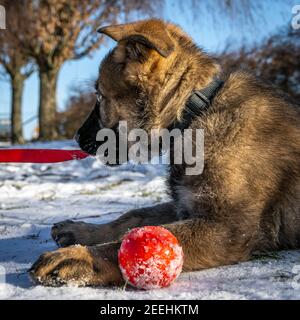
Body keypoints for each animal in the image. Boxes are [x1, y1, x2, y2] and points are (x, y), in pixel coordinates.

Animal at [29, 18, 298, 286]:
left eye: (99, 95)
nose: (76, 138)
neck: (193, 114)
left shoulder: (228, 227)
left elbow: (128, 241)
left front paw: (79, 257)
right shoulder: (184, 204)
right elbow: (132, 216)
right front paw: (83, 231)